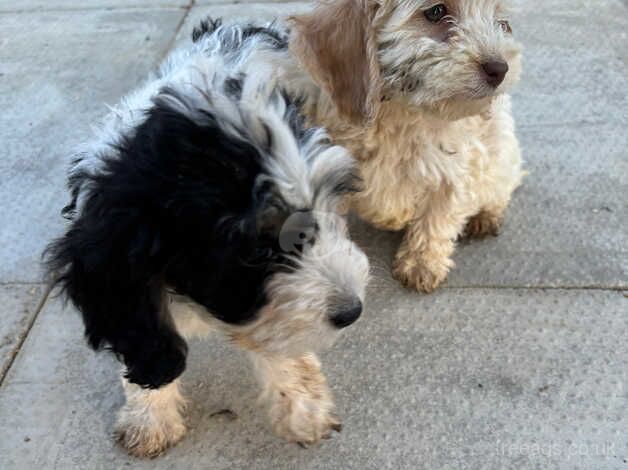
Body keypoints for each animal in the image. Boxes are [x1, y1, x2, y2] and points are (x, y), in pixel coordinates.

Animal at [46, 20, 370, 458]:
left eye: (325, 208)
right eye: (256, 251)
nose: (351, 310)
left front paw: (304, 407)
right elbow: (146, 339)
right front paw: (149, 417)